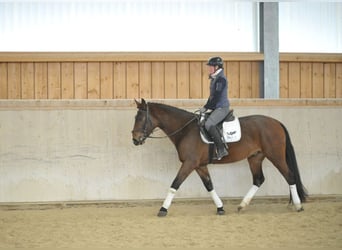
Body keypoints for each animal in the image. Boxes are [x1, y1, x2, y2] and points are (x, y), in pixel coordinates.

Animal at [131, 98, 308, 217]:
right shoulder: (199, 166)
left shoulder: (189, 163)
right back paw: (242, 205)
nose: (135, 139)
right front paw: (220, 208)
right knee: (258, 179)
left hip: (275, 156)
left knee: (289, 176)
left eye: (140, 118)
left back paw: (298, 206)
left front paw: (163, 209)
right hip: (255, 157)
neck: (186, 130)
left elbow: (175, 184)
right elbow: (209, 186)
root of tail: (276, 122)